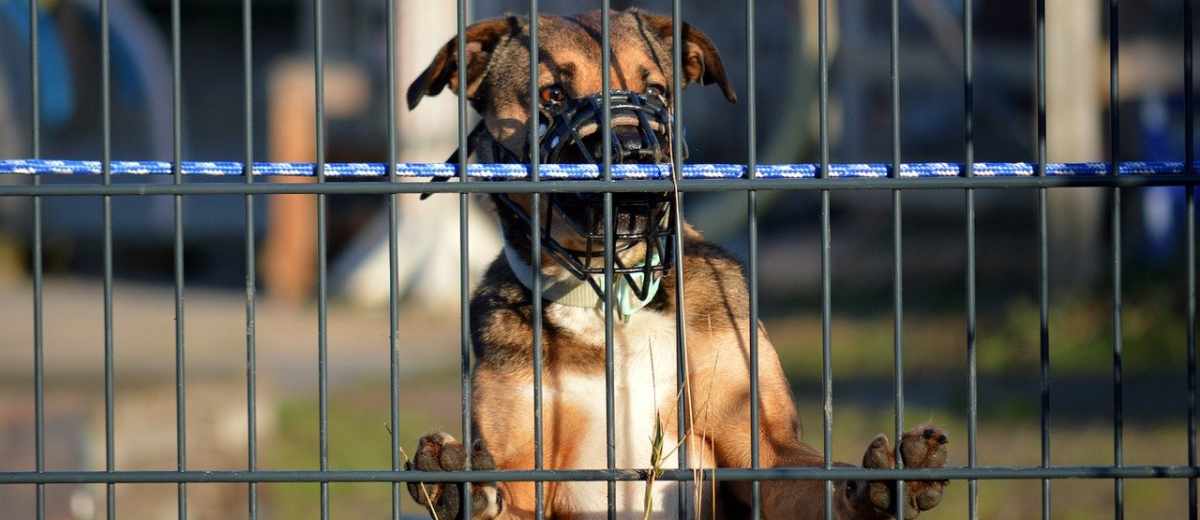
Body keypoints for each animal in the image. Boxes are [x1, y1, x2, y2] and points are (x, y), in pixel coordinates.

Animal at [403, 9, 945, 518]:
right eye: (552, 94)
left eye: (656, 91)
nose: (635, 151)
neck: (610, 292)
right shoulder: (523, 468)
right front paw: (457, 492)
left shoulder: (764, 448)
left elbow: (817, 482)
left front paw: (880, 488)